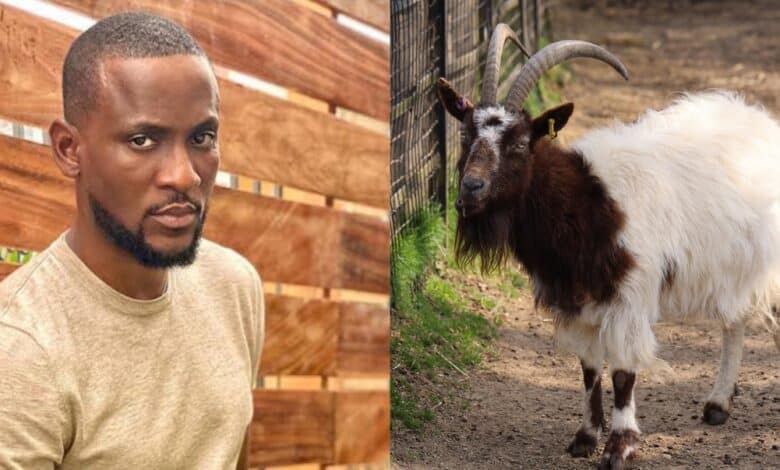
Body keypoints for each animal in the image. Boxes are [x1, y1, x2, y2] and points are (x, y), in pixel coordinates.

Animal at [437, 23, 780, 470]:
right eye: (465, 135)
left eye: (520, 144)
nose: (470, 190)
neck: (586, 202)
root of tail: (760, 121)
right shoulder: (576, 297)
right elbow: (588, 368)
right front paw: (585, 437)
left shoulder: (629, 296)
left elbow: (622, 372)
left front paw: (620, 447)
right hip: (735, 264)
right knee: (734, 321)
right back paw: (717, 405)